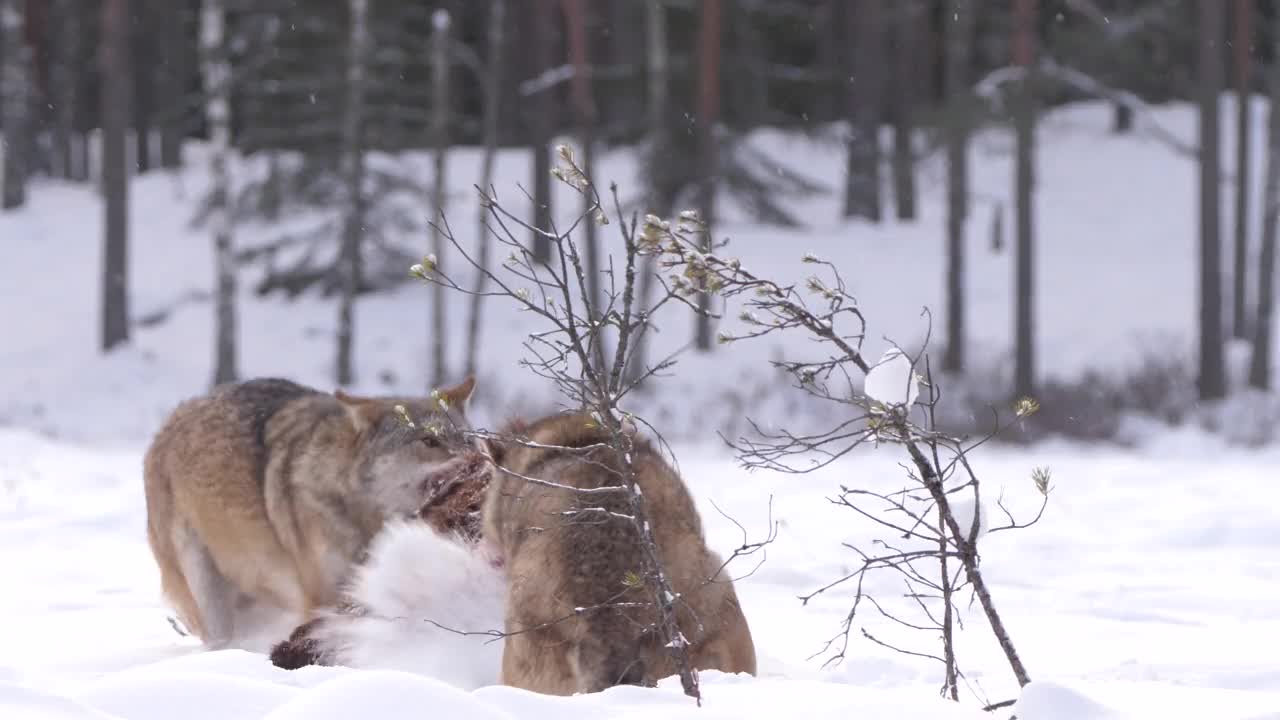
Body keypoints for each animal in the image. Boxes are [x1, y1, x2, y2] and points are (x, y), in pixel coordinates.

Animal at [141, 368, 481, 650]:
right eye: (428, 440)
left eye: (467, 440)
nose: (473, 459)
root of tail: (169, 422)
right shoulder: (323, 598)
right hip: (207, 591)